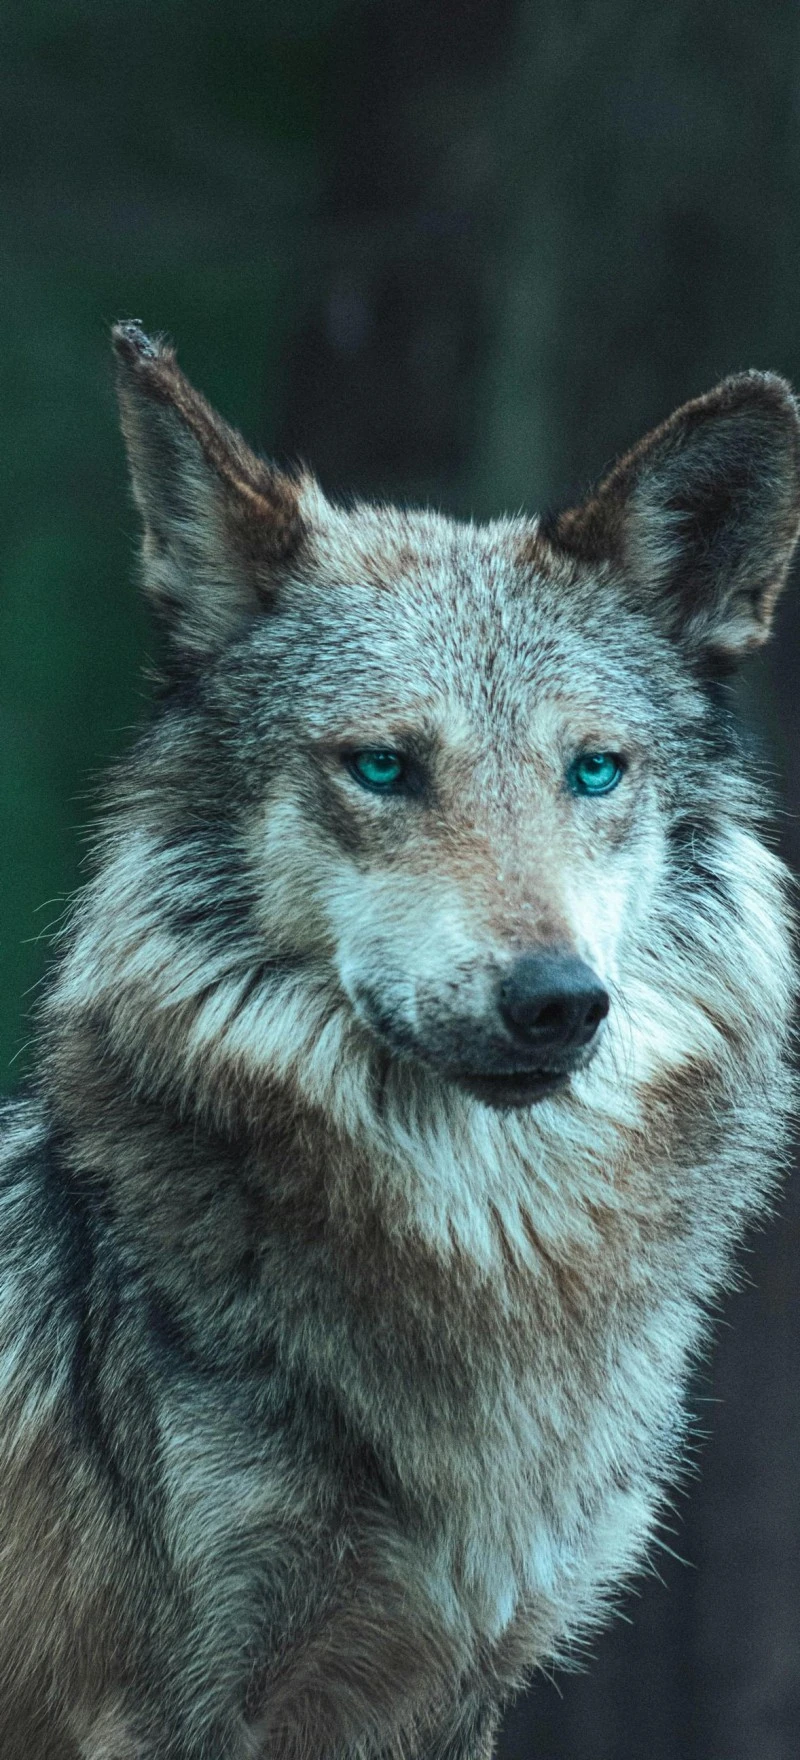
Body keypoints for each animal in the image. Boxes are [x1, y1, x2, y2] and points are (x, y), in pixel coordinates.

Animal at [0, 323, 797, 1759]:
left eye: (594, 770)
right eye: (381, 767)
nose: (557, 999)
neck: (491, 1247)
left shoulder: (456, 1690)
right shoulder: (165, 1707)